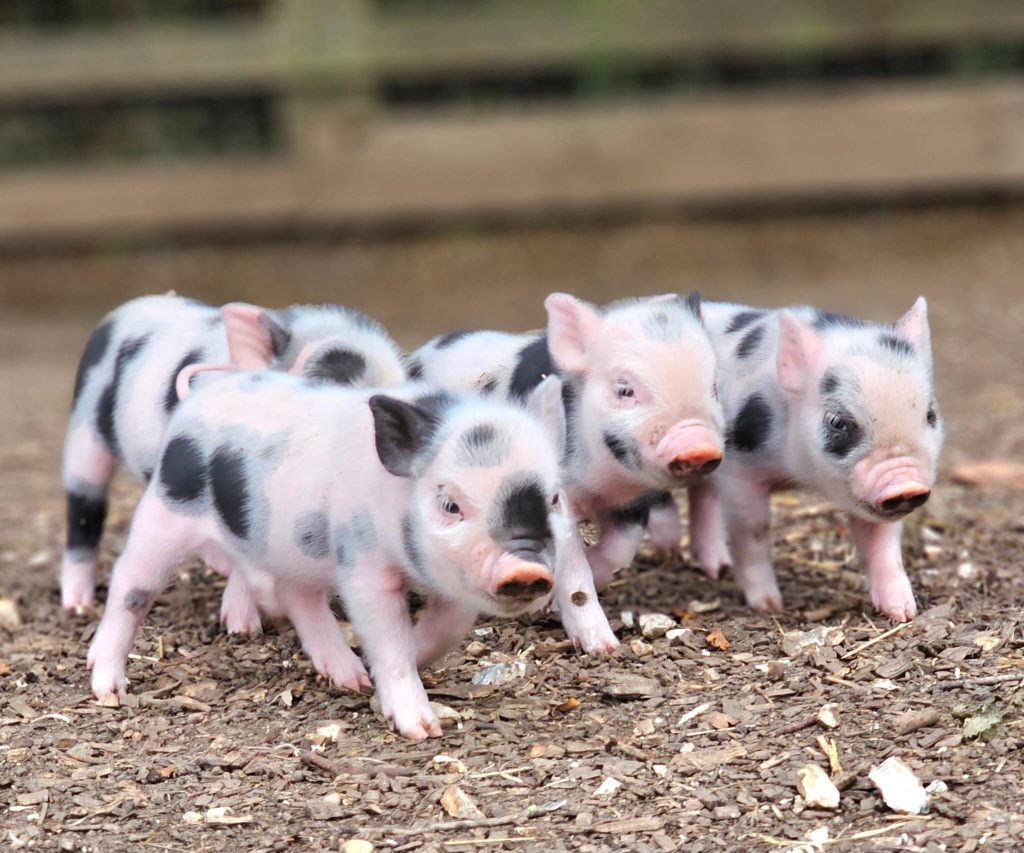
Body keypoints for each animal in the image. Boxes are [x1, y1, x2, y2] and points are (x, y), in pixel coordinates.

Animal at [87, 370, 570, 740]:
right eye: (451, 505)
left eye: (554, 498)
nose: (525, 567)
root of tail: (196, 399)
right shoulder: (361, 561)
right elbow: (385, 634)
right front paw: (423, 730)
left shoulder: (454, 585)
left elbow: (447, 627)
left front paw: (402, 660)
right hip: (165, 510)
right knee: (130, 583)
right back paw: (107, 687)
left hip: (288, 547)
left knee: (295, 594)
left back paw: (349, 676)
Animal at [408, 293, 726, 651]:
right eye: (625, 389)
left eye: (714, 387)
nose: (698, 445)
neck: (601, 483)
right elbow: (574, 570)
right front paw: (603, 648)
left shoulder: (633, 500)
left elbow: (619, 549)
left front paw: (556, 602)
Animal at [694, 298, 943, 621]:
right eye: (838, 422)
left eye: (930, 414)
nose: (907, 484)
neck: (795, 474)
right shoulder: (739, 470)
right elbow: (752, 533)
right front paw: (770, 606)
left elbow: (883, 543)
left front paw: (904, 612)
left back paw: (718, 570)